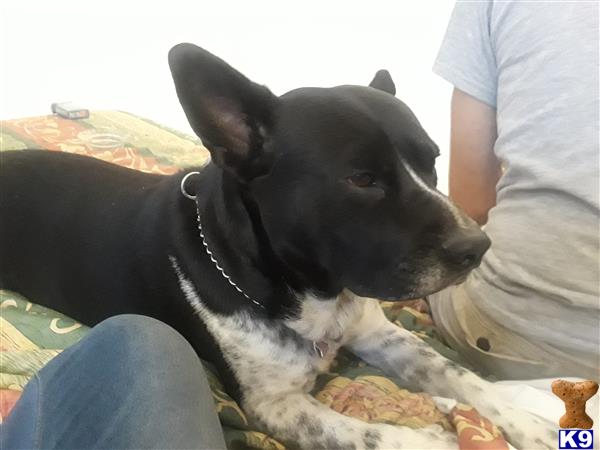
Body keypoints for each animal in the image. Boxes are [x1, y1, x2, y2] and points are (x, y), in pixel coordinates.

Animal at [0, 44, 552, 448]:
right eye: (362, 179)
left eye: (433, 161)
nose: (477, 246)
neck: (314, 291)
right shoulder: (274, 404)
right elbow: (363, 432)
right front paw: (433, 440)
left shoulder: (382, 334)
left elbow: (457, 374)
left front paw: (529, 422)